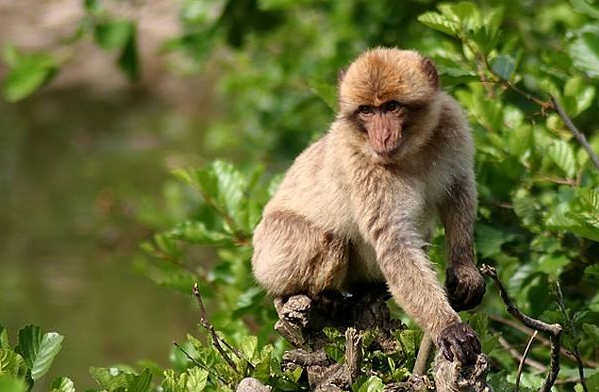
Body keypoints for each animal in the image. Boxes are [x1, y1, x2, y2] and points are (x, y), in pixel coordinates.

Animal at [253, 48, 488, 364]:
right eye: (367, 111)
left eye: (391, 107)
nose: (382, 137)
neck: (410, 152)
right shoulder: (364, 166)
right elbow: (395, 245)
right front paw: (447, 326)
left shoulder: (451, 124)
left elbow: (458, 189)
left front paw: (464, 270)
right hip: (271, 253)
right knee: (327, 239)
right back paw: (321, 297)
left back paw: (369, 290)